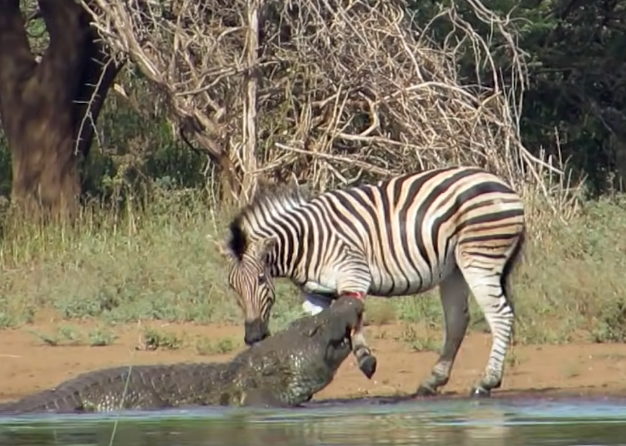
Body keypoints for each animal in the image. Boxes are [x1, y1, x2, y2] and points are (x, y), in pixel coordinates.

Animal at [217, 166, 524, 396]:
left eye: (261, 279)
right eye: (232, 287)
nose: (253, 336)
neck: (307, 241)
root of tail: (505, 186)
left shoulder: (353, 273)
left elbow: (354, 321)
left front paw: (366, 361)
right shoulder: (317, 294)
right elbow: (320, 329)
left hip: (479, 258)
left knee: (500, 315)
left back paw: (487, 382)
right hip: (454, 269)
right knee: (458, 320)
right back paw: (433, 381)